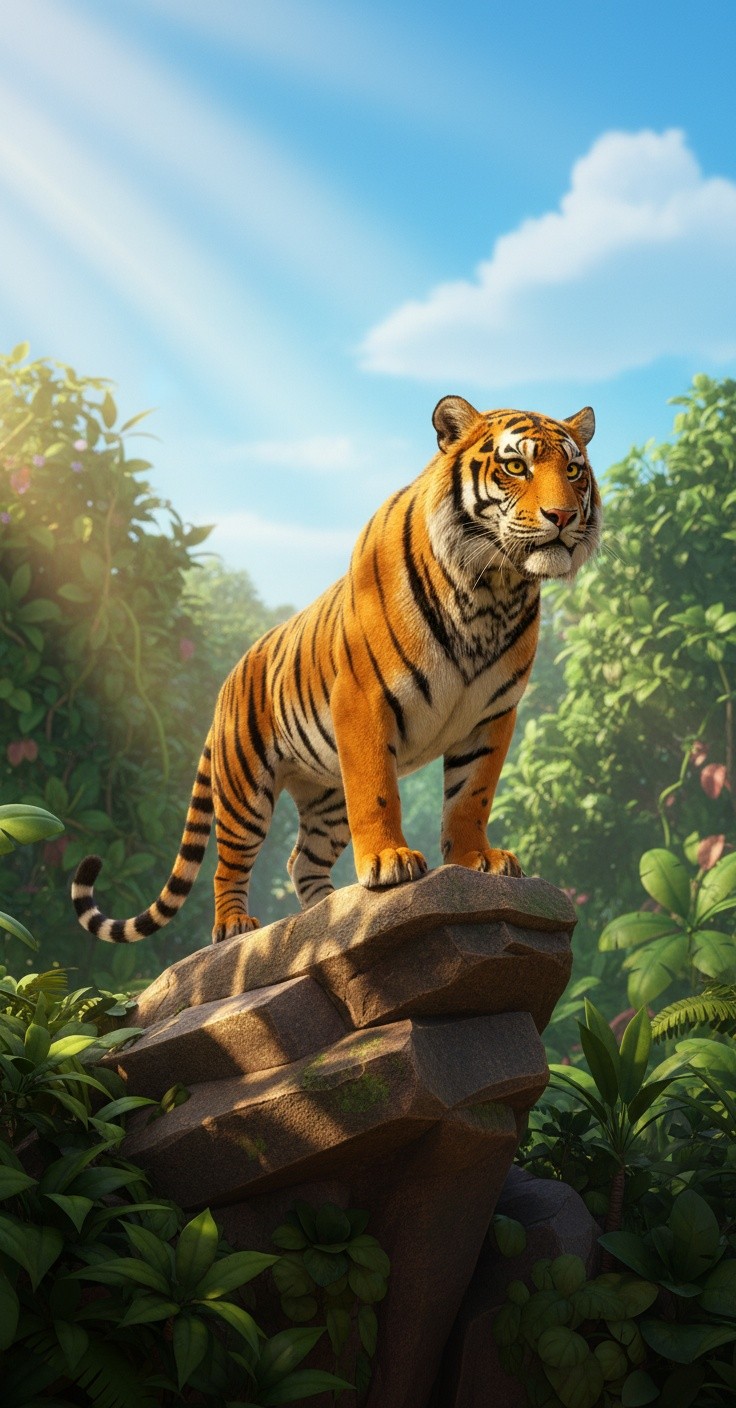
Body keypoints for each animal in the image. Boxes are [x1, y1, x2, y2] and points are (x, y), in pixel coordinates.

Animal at [71, 395, 600, 945]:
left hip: (326, 798)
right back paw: (235, 924)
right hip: (244, 791)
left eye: (574, 470)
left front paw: (478, 858)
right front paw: (389, 861)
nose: (562, 516)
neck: (492, 588)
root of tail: (226, 684)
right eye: (516, 466)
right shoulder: (364, 701)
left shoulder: (492, 715)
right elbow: (377, 792)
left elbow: (470, 796)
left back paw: (326, 916)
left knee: (301, 860)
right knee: (229, 863)